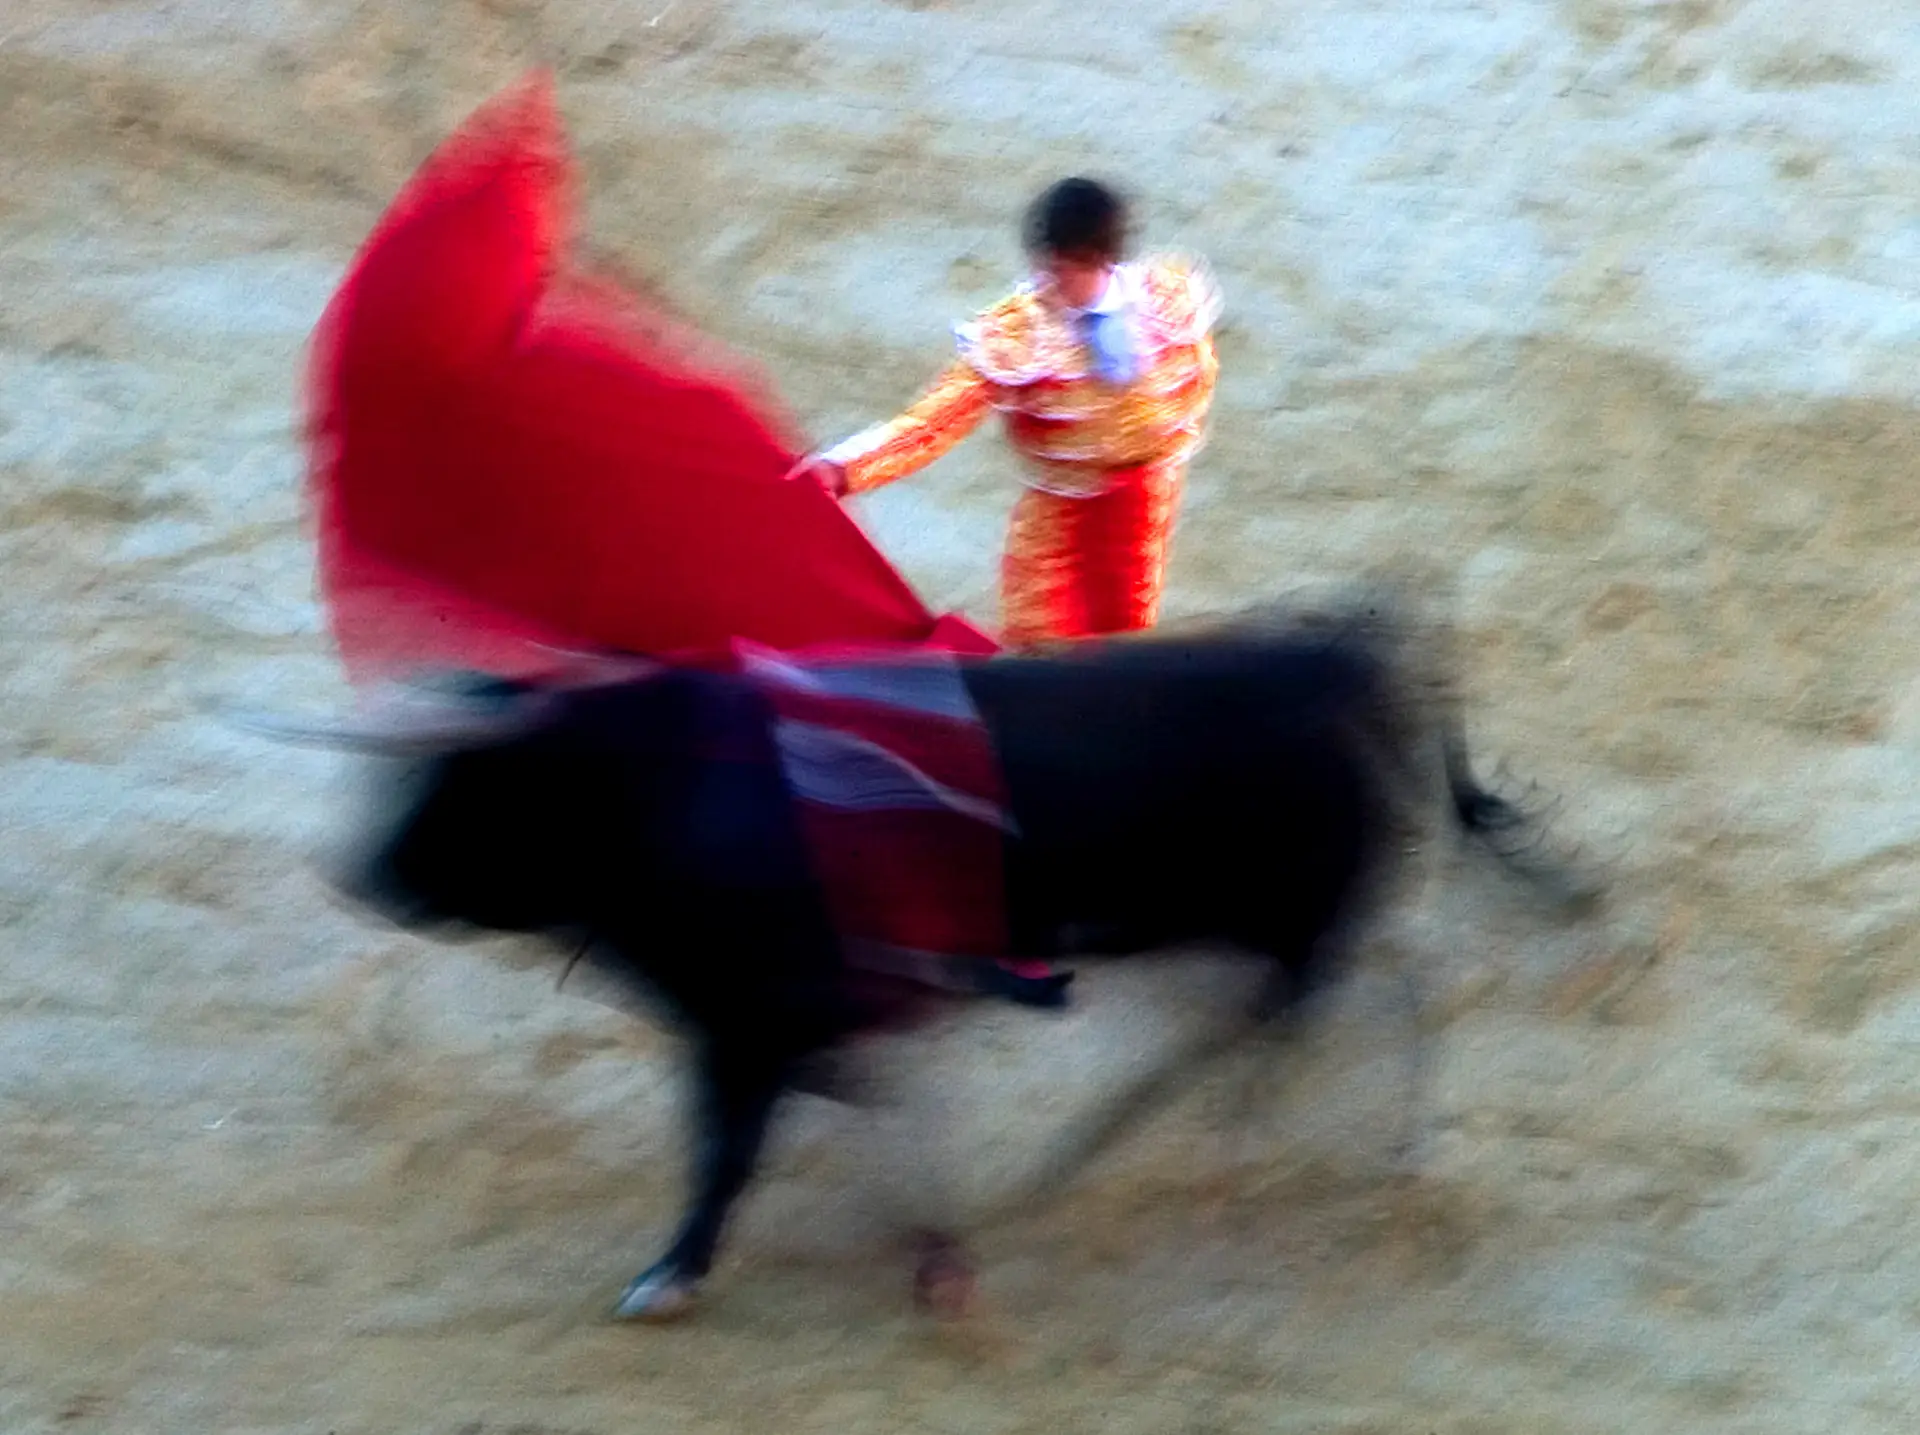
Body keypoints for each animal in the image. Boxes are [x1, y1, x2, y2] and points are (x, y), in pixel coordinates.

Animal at [299, 603, 1582, 1321]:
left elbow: (727, 1149)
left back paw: (1285, 1147)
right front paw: (934, 1243)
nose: (363, 875)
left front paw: (670, 1277)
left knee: (1340, 1000)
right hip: (1242, 921)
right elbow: (866, 1112)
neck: (656, 788)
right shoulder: (804, 1018)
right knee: (1336, 996)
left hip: (1282, 912)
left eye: (456, 783)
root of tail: (1337, 653)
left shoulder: (750, 1021)